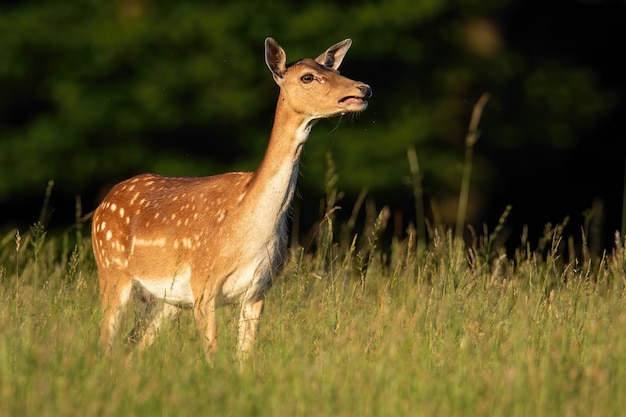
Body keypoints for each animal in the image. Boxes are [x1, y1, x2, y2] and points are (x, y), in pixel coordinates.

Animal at [92, 37, 370, 366]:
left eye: (334, 69)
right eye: (307, 77)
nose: (363, 88)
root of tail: (102, 204)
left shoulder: (257, 292)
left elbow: (244, 358)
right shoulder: (203, 284)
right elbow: (212, 355)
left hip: (165, 301)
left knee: (133, 345)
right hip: (111, 269)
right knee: (106, 340)